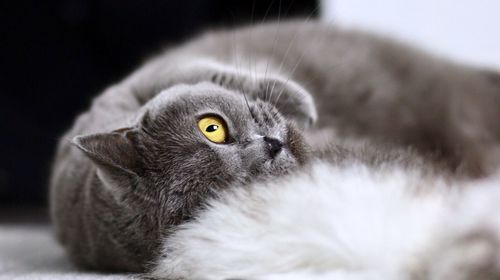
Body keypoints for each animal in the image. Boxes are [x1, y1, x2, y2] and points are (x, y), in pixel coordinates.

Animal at [49, 20, 500, 274]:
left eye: (212, 127)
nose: (269, 146)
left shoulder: (151, 77)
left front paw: (301, 101)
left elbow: (220, 72)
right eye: (235, 188)